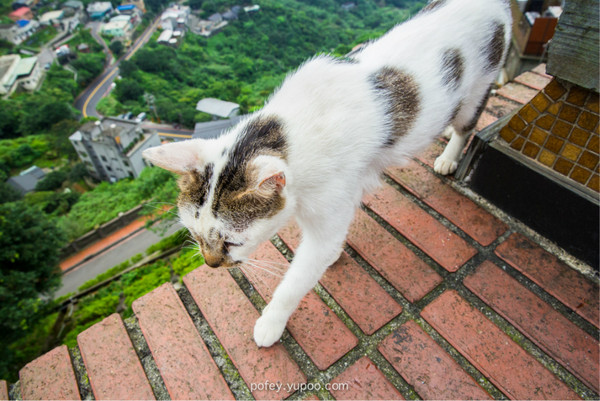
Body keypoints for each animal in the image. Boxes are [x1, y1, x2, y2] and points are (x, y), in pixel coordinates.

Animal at [142, 0, 510, 346]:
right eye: (194, 233)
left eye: (232, 242)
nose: (211, 264)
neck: (289, 129)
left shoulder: (329, 204)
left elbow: (297, 279)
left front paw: (271, 322)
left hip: (479, 86)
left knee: (467, 124)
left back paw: (449, 155)